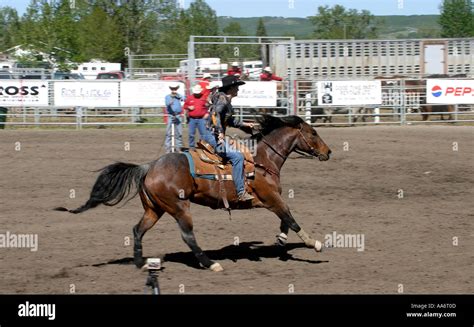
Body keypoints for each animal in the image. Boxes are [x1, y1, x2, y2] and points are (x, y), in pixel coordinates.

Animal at [54, 114, 330, 272]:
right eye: (314, 132)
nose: (328, 152)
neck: (262, 160)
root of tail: (148, 167)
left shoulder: (273, 200)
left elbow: (285, 220)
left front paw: (281, 241)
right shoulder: (271, 198)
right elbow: (290, 218)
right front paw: (315, 244)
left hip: (154, 209)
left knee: (138, 230)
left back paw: (140, 263)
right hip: (179, 208)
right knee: (188, 236)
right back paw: (210, 263)